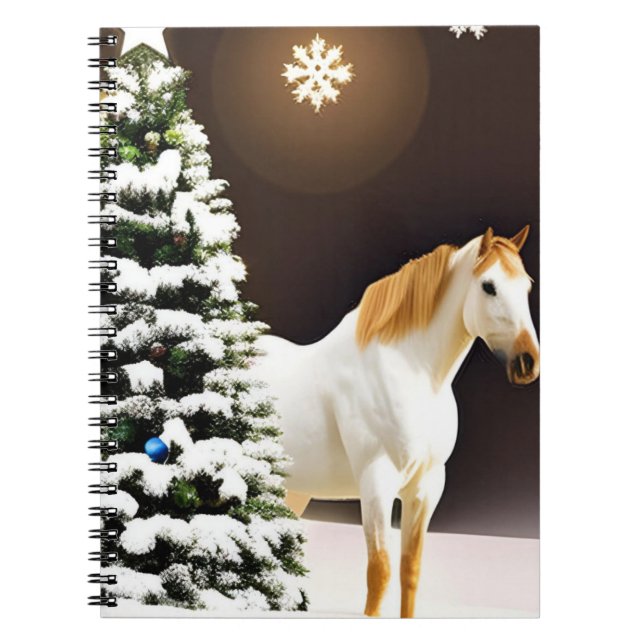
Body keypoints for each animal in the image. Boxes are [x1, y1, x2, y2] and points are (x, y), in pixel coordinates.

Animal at [252, 227, 540, 618]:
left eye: (526, 286)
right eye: (489, 286)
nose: (528, 362)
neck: (413, 374)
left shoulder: (426, 488)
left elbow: (409, 571)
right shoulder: (377, 484)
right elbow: (380, 573)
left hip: (290, 490)